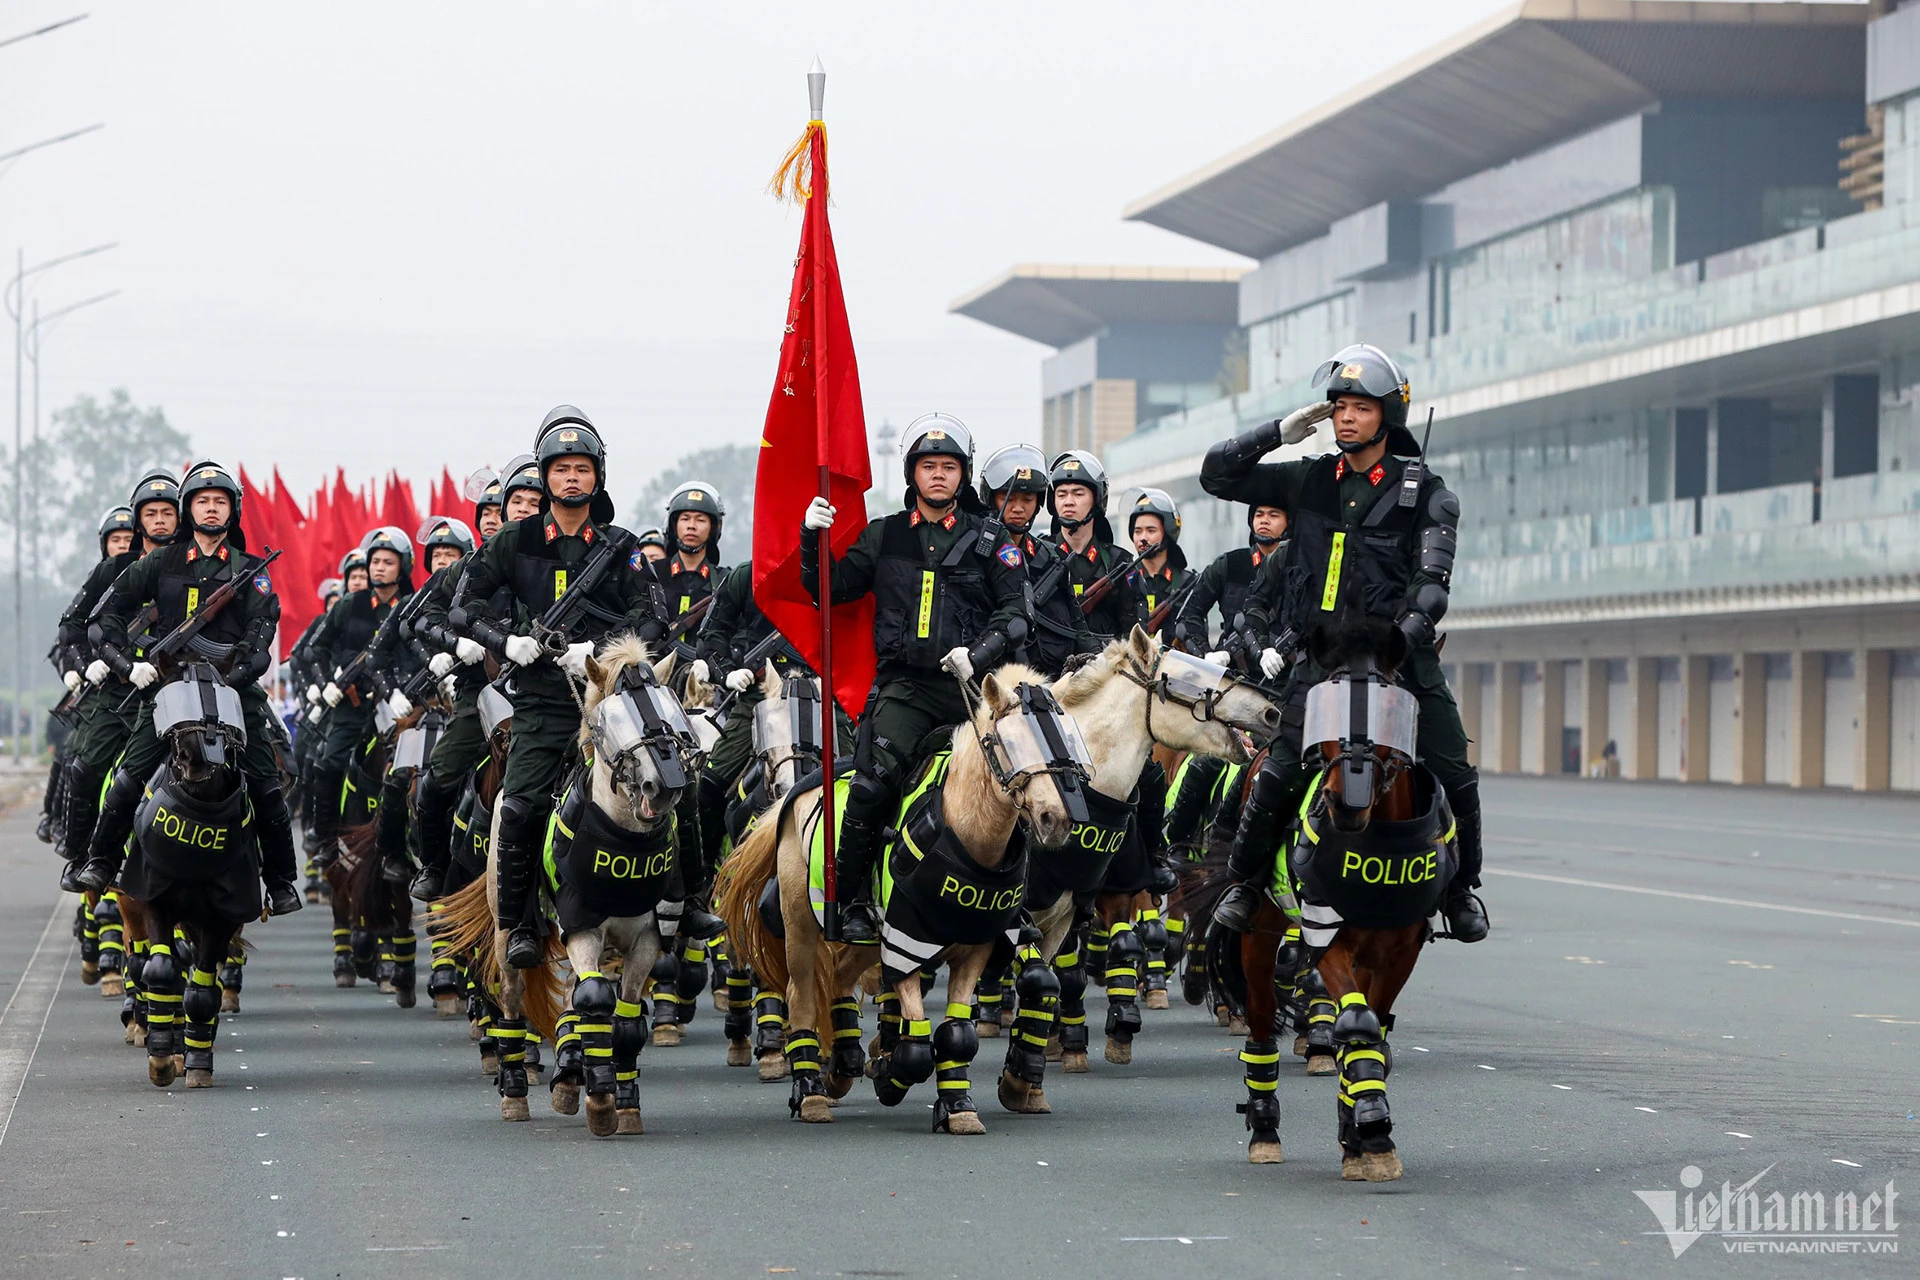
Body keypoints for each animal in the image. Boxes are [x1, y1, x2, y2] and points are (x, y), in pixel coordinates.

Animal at [718, 667, 1090, 1136]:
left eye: (1068, 737)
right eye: (1007, 742)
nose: (1055, 819)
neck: (965, 835)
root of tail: (797, 791)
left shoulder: (974, 949)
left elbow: (957, 1033)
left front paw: (959, 1107)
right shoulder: (904, 947)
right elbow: (915, 1047)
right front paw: (889, 1075)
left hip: (863, 945)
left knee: (838, 980)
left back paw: (841, 1069)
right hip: (801, 929)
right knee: (800, 997)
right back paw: (812, 1094)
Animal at [1228, 617, 1451, 1182]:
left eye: (1392, 710)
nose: (1342, 802)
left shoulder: (1399, 955)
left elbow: (1374, 1029)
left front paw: (1360, 1132)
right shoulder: (1325, 938)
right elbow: (1357, 1022)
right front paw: (1370, 1127)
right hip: (1259, 936)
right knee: (1260, 1017)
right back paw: (1264, 1127)